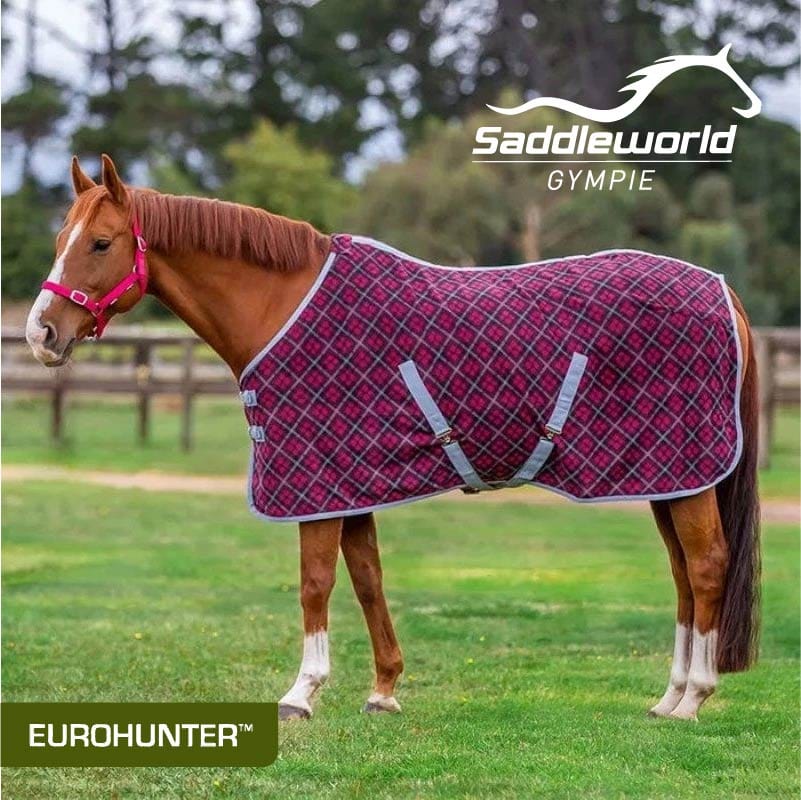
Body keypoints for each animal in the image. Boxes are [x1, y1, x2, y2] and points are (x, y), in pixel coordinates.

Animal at [25, 154, 760, 722]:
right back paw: (667, 697)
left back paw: (693, 698)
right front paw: (382, 691)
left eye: (100, 243)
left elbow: (315, 584)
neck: (283, 306)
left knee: (705, 567)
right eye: (60, 235)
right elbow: (368, 580)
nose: (40, 333)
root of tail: (723, 292)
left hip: (683, 473)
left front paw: (301, 693)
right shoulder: (350, 484)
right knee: (682, 576)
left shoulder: (316, 484)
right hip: (669, 477)